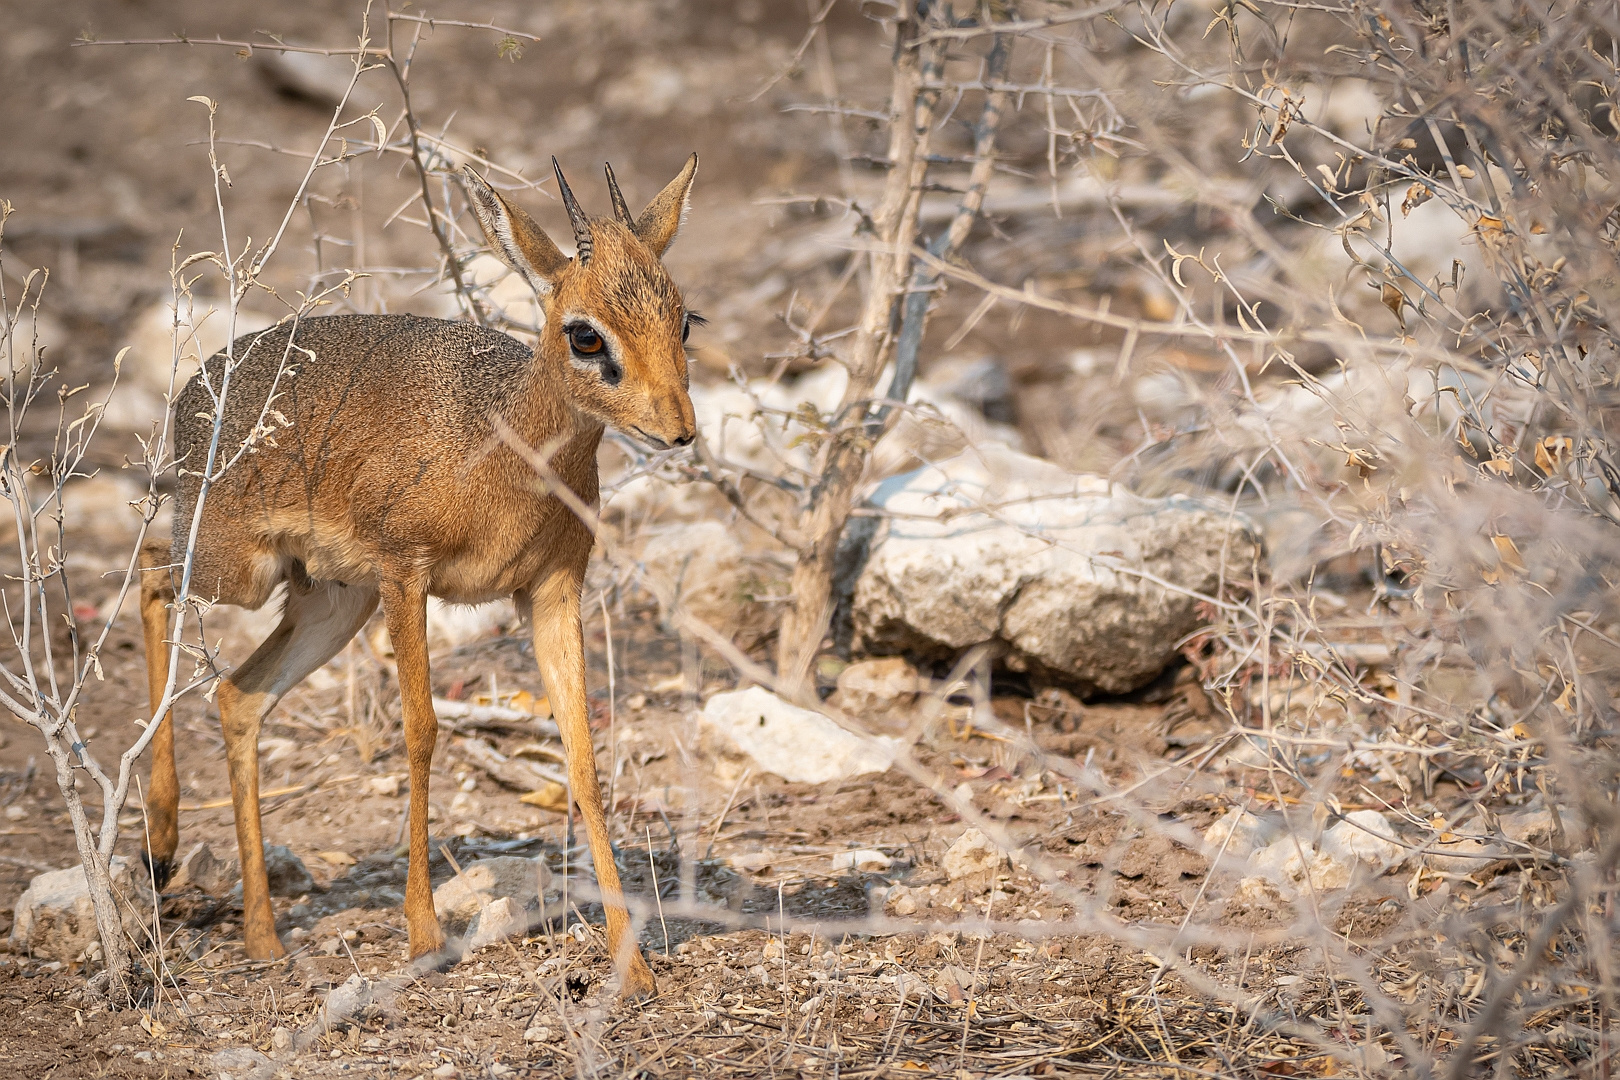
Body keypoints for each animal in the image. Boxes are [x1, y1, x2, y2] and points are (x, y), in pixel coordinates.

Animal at [139, 152, 696, 997]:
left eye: (683, 318)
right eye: (586, 335)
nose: (680, 429)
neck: (503, 452)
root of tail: (196, 388)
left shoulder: (551, 589)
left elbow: (581, 754)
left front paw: (630, 965)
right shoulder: (409, 576)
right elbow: (423, 733)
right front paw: (425, 931)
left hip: (333, 602)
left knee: (238, 695)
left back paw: (262, 936)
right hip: (238, 568)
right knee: (148, 575)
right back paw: (161, 842)